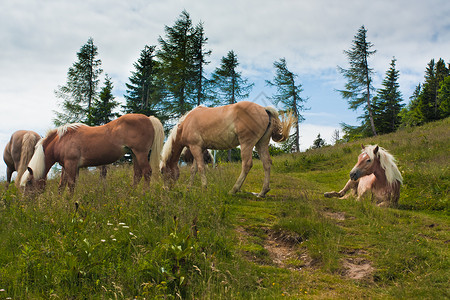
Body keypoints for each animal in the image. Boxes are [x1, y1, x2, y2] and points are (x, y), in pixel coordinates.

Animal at [21, 112, 164, 192]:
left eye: (29, 183)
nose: (26, 204)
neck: (61, 140)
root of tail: (149, 118)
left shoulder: (71, 164)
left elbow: (71, 185)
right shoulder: (65, 167)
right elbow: (62, 186)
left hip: (140, 153)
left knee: (147, 172)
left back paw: (144, 194)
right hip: (134, 154)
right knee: (137, 175)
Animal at [160, 102, 298, 198]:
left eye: (163, 173)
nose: (166, 190)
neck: (185, 124)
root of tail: (264, 109)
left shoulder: (195, 147)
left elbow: (200, 168)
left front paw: (204, 187)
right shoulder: (200, 149)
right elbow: (194, 169)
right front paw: (189, 187)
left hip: (246, 144)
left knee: (247, 164)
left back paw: (233, 190)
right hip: (261, 144)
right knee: (266, 164)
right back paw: (262, 192)